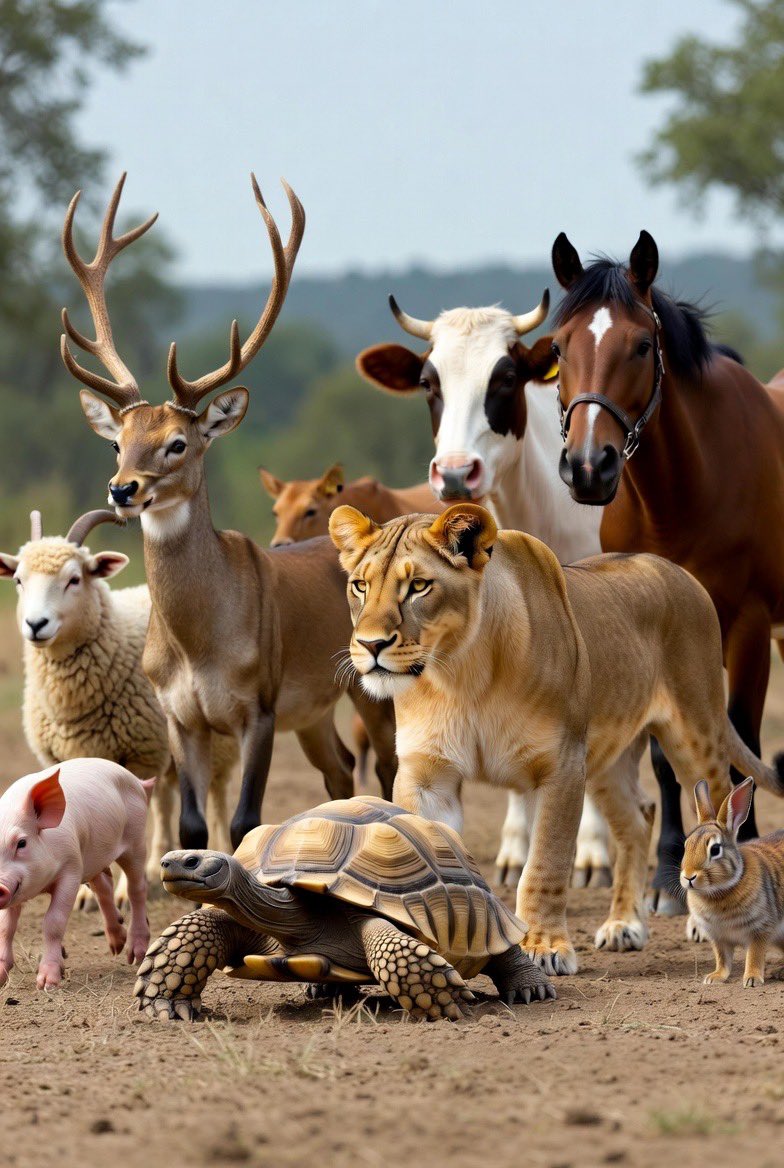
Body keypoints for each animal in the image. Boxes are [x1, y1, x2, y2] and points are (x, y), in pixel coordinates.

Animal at [329, 502, 784, 975]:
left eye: (418, 586)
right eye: (360, 586)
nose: (370, 644)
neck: (460, 673)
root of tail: (676, 571)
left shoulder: (559, 766)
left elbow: (545, 863)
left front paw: (544, 947)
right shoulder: (426, 775)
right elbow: (422, 847)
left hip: (695, 734)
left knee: (718, 807)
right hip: (606, 756)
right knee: (638, 819)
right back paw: (624, 925)